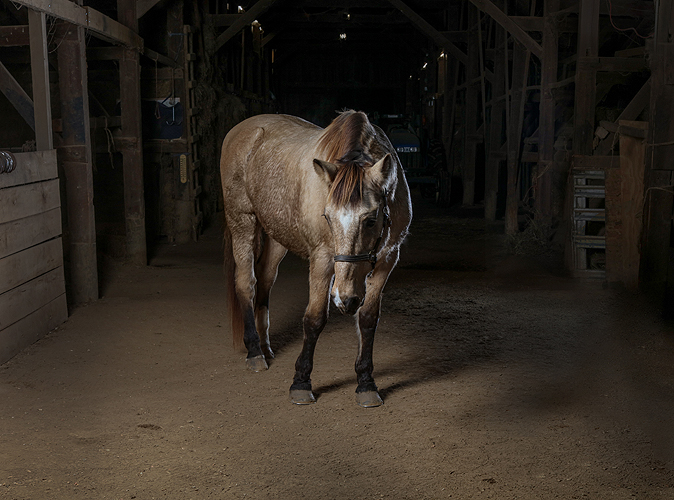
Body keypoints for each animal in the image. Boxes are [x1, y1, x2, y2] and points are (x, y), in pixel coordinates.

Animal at [220, 110, 412, 407]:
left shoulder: (387, 259)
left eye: (370, 220)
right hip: (242, 221)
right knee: (246, 283)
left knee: (265, 280)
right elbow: (314, 318)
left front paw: (366, 383)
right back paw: (254, 352)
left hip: (277, 236)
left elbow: (368, 318)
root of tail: (240, 130)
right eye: (327, 217)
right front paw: (301, 382)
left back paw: (265, 345)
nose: (345, 299)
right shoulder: (322, 258)